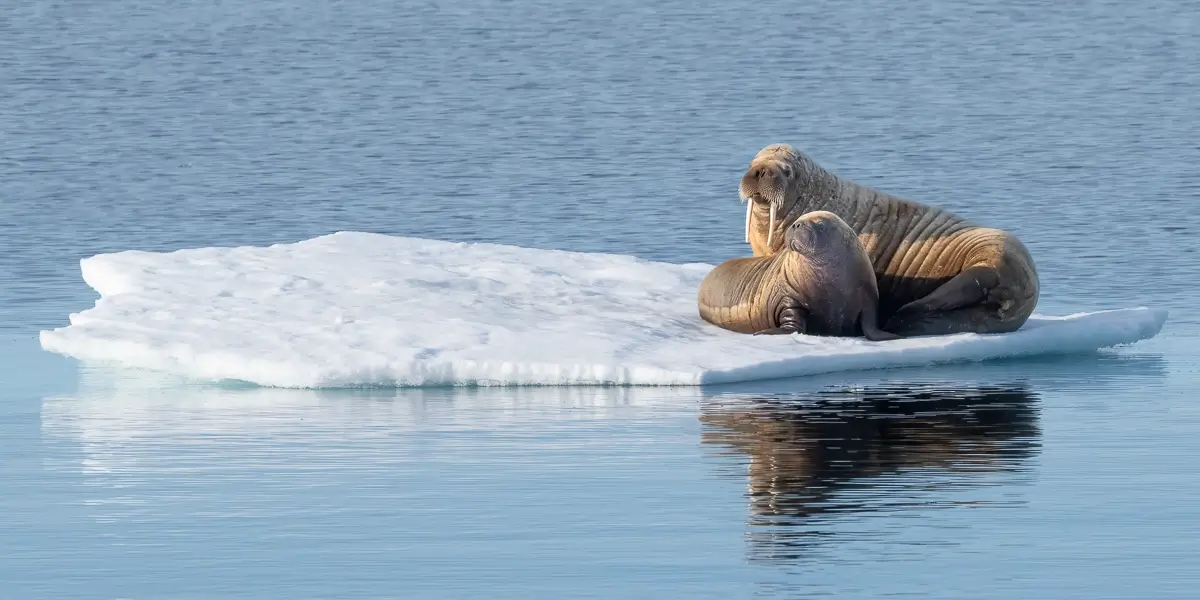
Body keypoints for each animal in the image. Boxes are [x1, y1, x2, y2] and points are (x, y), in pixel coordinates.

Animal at [700, 211, 897, 343]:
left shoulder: (868, 294)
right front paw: (764, 332)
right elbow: (792, 322)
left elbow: (870, 322)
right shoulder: (788, 297)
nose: (796, 224)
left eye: (820, 225)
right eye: (797, 220)